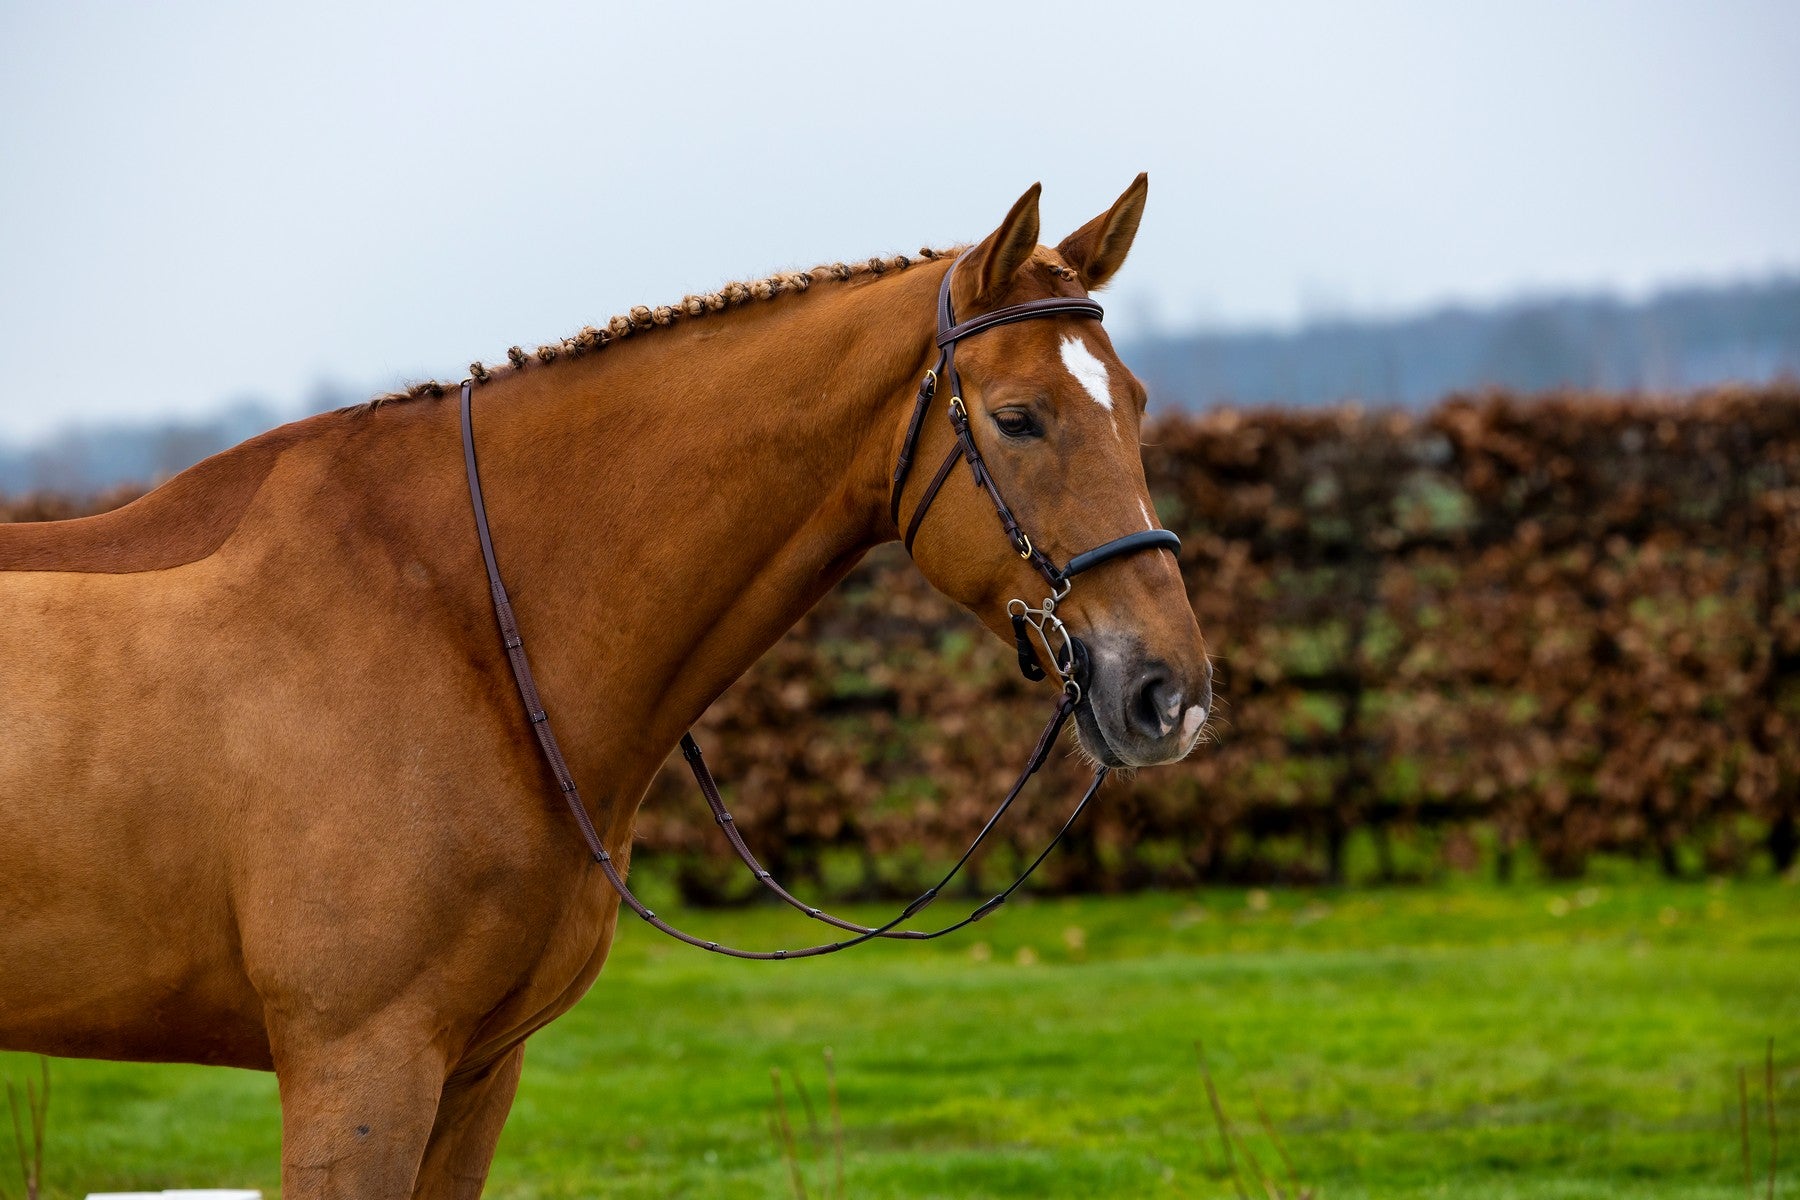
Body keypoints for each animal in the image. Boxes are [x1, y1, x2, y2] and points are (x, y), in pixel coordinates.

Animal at [3, 178, 1209, 1200]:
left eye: (1138, 401)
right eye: (1017, 416)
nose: (1170, 694)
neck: (462, 625)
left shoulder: (473, 1075)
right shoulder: (358, 1064)